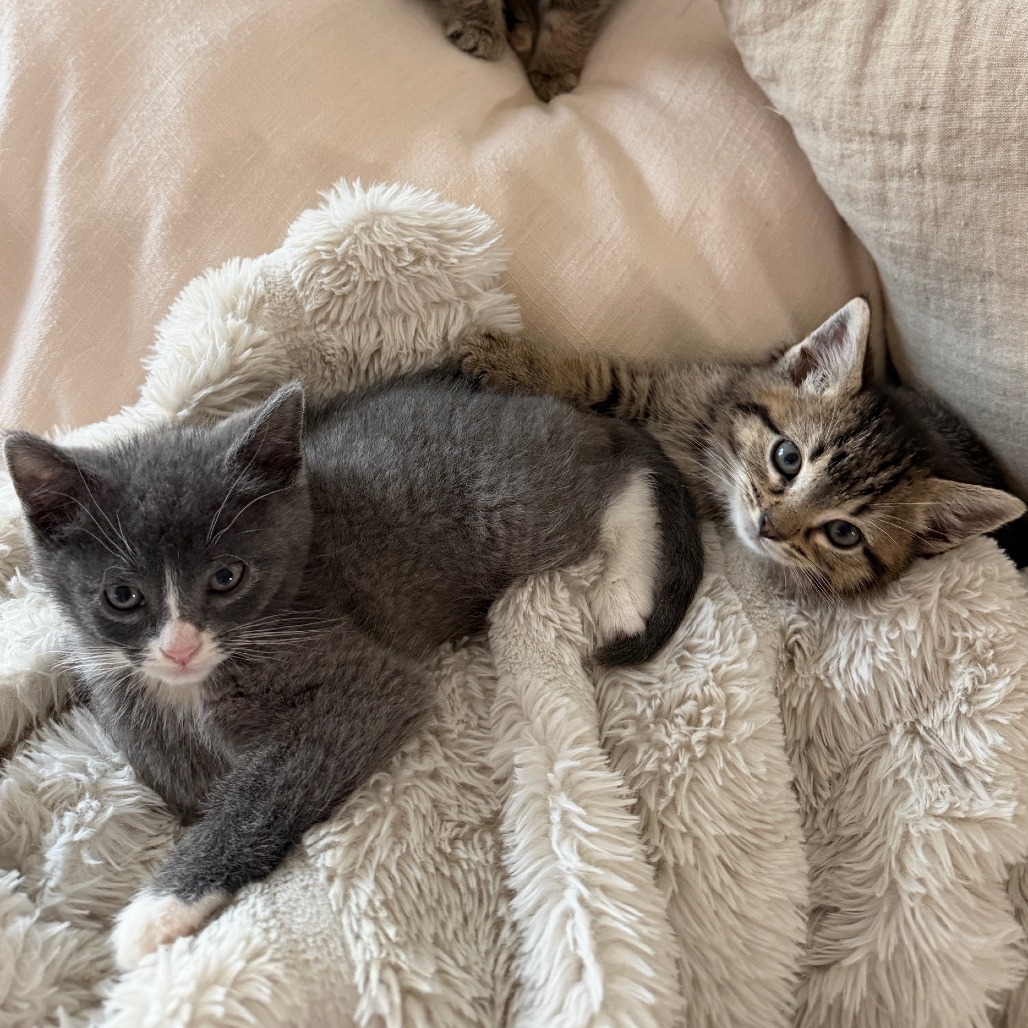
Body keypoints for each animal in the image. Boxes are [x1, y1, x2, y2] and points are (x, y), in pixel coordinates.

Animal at [3, 369, 702, 968]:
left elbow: (268, 787)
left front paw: (161, 907)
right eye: (122, 596)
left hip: (510, 505)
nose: (179, 647)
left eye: (227, 578)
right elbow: (171, 771)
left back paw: (622, 591)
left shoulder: (362, 678)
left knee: (613, 480)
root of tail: (555, 407)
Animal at [457, 297, 1027, 598]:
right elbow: (603, 379)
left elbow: (607, 384)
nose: (768, 526)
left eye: (844, 533)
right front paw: (506, 360)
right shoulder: (669, 387)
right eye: (788, 458)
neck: (710, 448)